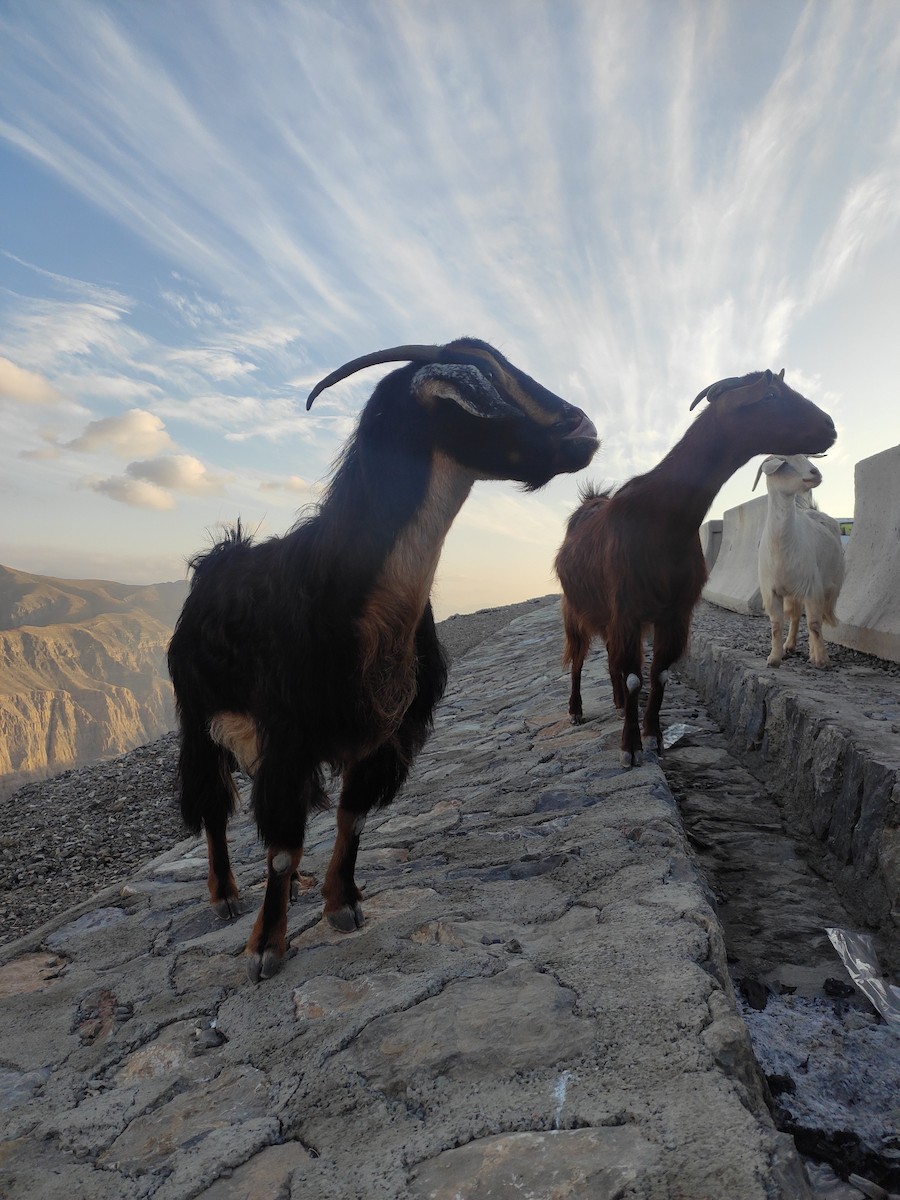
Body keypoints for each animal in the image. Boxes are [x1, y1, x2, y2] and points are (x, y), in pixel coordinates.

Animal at [167, 337, 598, 982]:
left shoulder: (385, 734)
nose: (585, 429)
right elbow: (280, 847)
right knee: (212, 801)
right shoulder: (290, 735)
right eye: (483, 387)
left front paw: (340, 903)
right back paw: (225, 894)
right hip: (198, 717)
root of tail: (216, 559)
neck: (358, 597)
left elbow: (352, 819)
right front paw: (267, 947)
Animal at [754, 453, 845, 668]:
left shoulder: (813, 588)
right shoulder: (772, 591)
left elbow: (814, 624)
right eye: (784, 462)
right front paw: (774, 658)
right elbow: (776, 625)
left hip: (827, 586)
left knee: (815, 620)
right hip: (793, 591)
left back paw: (811, 652)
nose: (815, 473)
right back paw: (790, 646)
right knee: (795, 617)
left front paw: (821, 660)